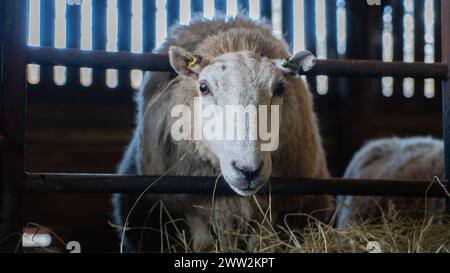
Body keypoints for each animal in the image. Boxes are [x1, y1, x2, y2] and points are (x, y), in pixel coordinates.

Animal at [111, 15, 332, 252]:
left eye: (280, 88)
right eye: (203, 87)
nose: (248, 171)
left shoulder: (271, 206)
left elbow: (262, 243)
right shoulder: (188, 202)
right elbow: (204, 245)